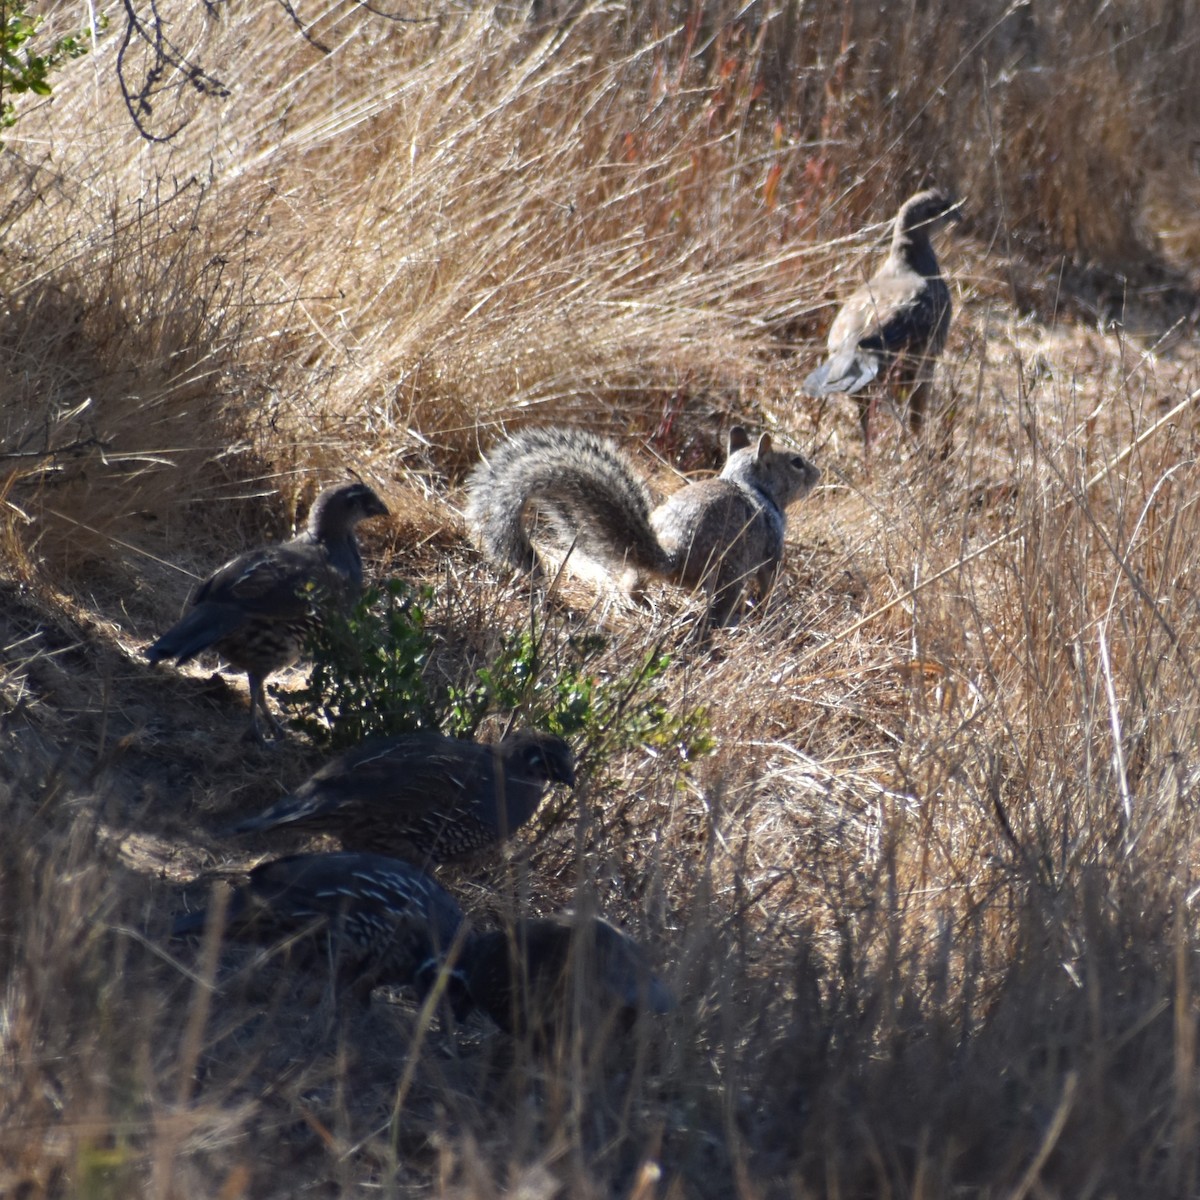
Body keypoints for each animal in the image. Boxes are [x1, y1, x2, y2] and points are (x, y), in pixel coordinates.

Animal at [463, 424, 820, 628]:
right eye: (796, 462)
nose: (818, 473)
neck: (752, 486)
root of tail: (672, 556)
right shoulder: (772, 547)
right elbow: (769, 580)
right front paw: (772, 608)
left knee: (632, 584)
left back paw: (638, 603)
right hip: (730, 571)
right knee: (718, 611)